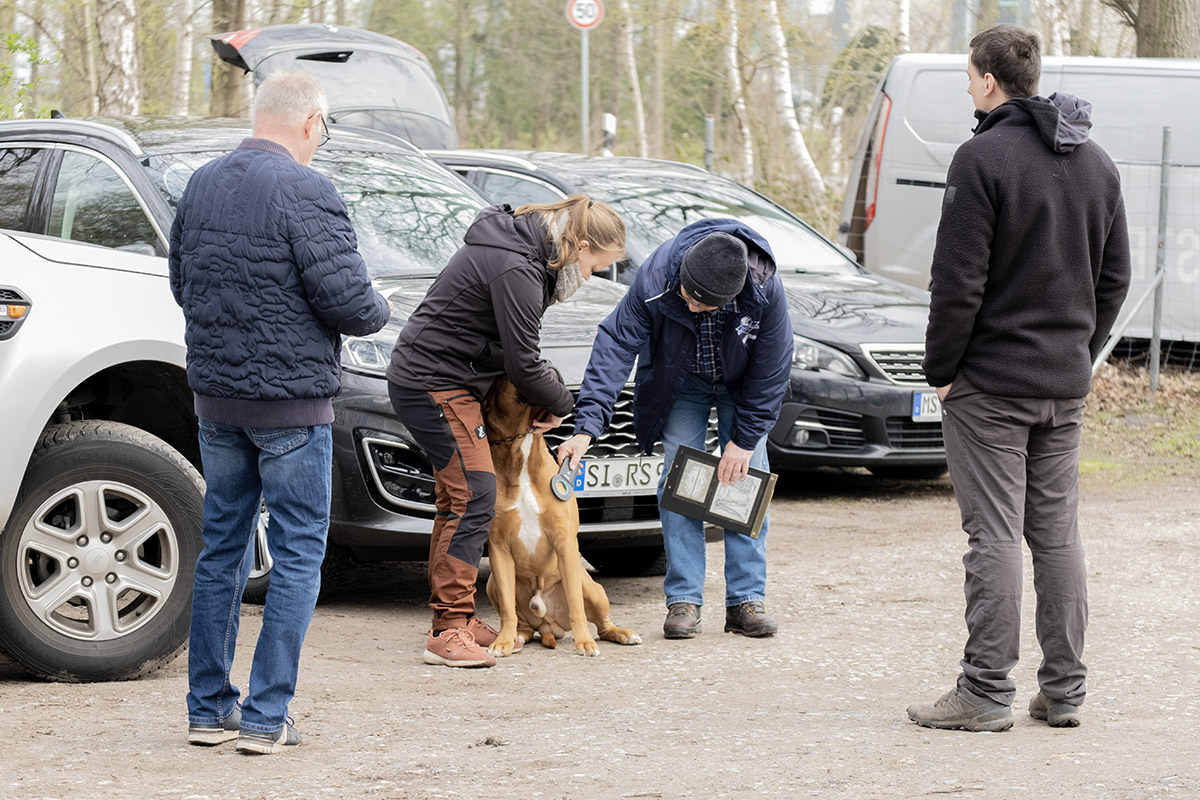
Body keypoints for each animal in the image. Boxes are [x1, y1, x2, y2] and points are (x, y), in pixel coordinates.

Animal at [482, 376, 643, 657]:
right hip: (492, 582)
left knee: (603, 624)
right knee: (520, 622)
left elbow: (576, 603)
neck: (521, 455)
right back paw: (517, 637)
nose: (547, 367)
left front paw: (584, 642)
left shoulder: (565, 542)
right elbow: (507, 611)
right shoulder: (499, 548)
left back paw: (622, 634)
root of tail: (548, 625)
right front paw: (502, 641)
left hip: (592, 587)